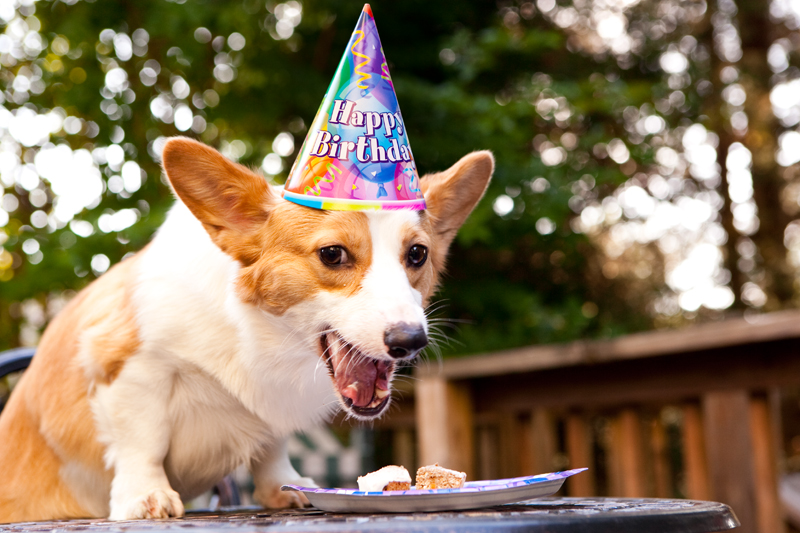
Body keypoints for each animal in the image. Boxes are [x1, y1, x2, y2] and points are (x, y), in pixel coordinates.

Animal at [0, 136, 494, 520]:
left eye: (417, 254)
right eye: (332, 254)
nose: (411, 341)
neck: (262, 333)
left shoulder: (271, 407)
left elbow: (272, 446)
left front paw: (285, 487)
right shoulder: (129, 365)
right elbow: (143, 439)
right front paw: (146, 496)